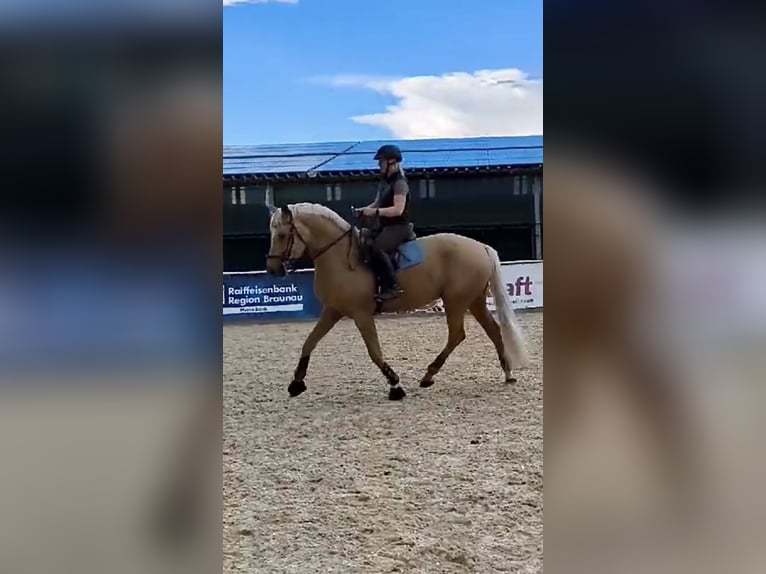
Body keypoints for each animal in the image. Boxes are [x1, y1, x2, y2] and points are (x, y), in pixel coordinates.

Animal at [264, 202, 530, 400]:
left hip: (456, 300)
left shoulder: (361, 314)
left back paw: (429, 375)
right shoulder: (332, 311)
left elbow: (374, 351)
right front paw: (296, 382)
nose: (273, 269)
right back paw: (507, 373)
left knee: (457, 335)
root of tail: (481, 246)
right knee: (493, 330)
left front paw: (395, 386)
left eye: (283, 235)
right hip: (473, 300)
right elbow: (309, 342)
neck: (340, 257)